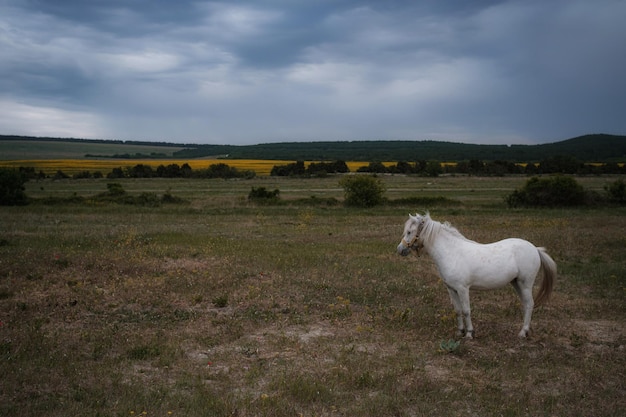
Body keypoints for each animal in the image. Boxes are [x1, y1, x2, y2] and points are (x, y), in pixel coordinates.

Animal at [398, 213, 552, 336]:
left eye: (410, 232)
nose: (400, 249)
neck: (452, 252)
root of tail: (535, 249)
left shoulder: (463, 289)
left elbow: (466, 310)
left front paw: (469, 333)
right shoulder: (451, 289)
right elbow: (458, 310)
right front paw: (460, 331)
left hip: (525, 284)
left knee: (530, 304)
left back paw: (523, 332)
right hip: (516, 283)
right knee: (526, 304)